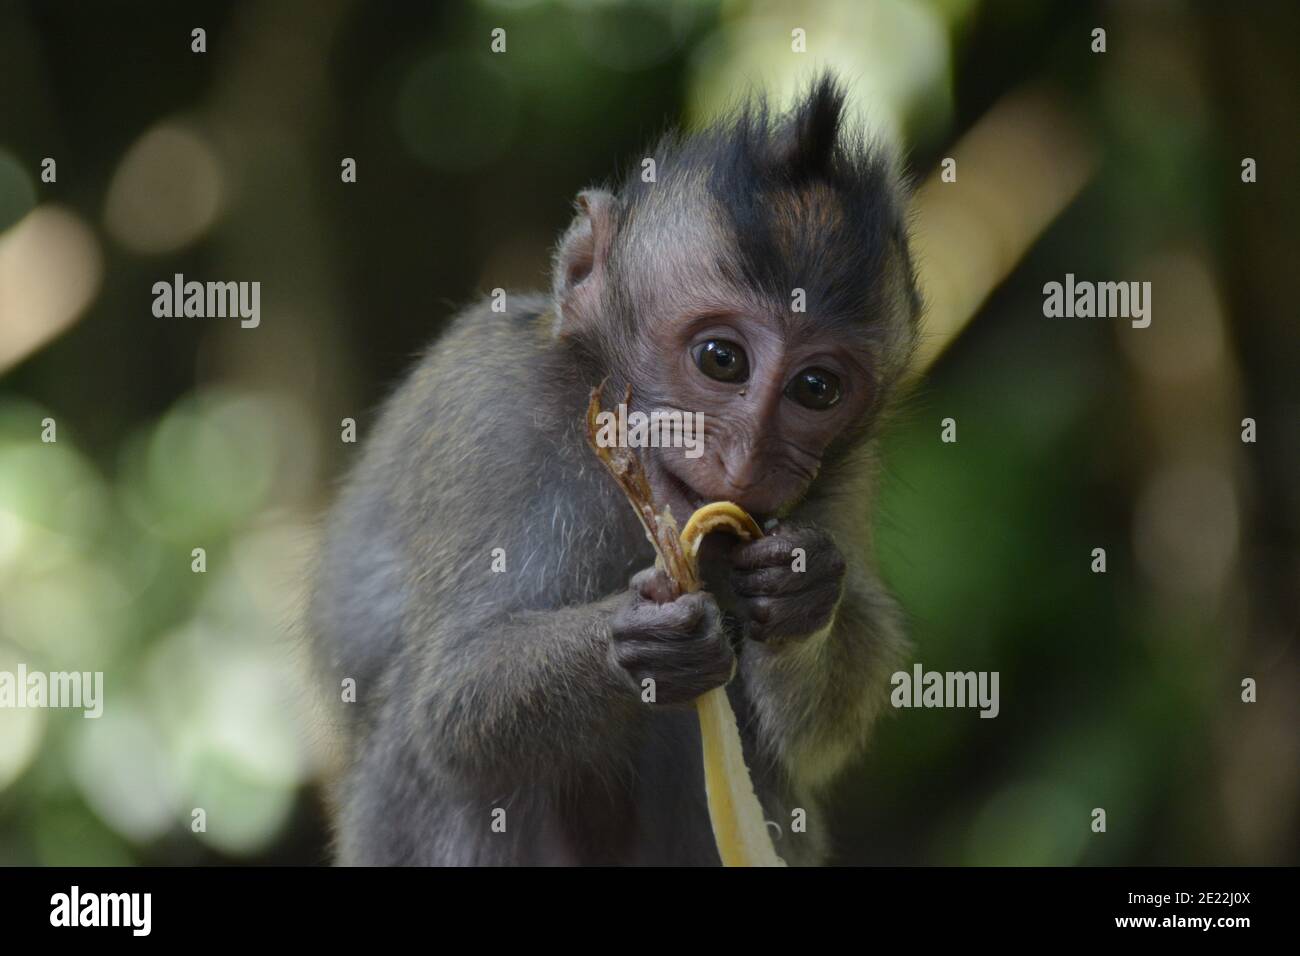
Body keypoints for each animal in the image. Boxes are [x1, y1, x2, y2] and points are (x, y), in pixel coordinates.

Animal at [312, 72, 925, 868]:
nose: (747, 456)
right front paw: (637, 647)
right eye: (721, 360)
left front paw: (802, 589)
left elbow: (817, 737)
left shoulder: (846, 471)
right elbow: (448, 703)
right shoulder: (494, 413)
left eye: (816, 388)